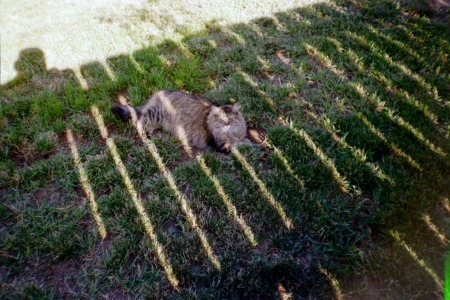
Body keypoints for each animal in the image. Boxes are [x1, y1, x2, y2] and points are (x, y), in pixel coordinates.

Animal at [110, 88, 250, 150]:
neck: (230, 134)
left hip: (156, 119)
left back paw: (153, 135)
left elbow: (242, 140)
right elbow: (238, 145)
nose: (227, 124)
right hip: (155, 113)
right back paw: (144, 136)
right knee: (140, 121)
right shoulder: (219, 144)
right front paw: (250, 144)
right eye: (221, 120)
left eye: (231, 119)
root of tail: (159, 92)